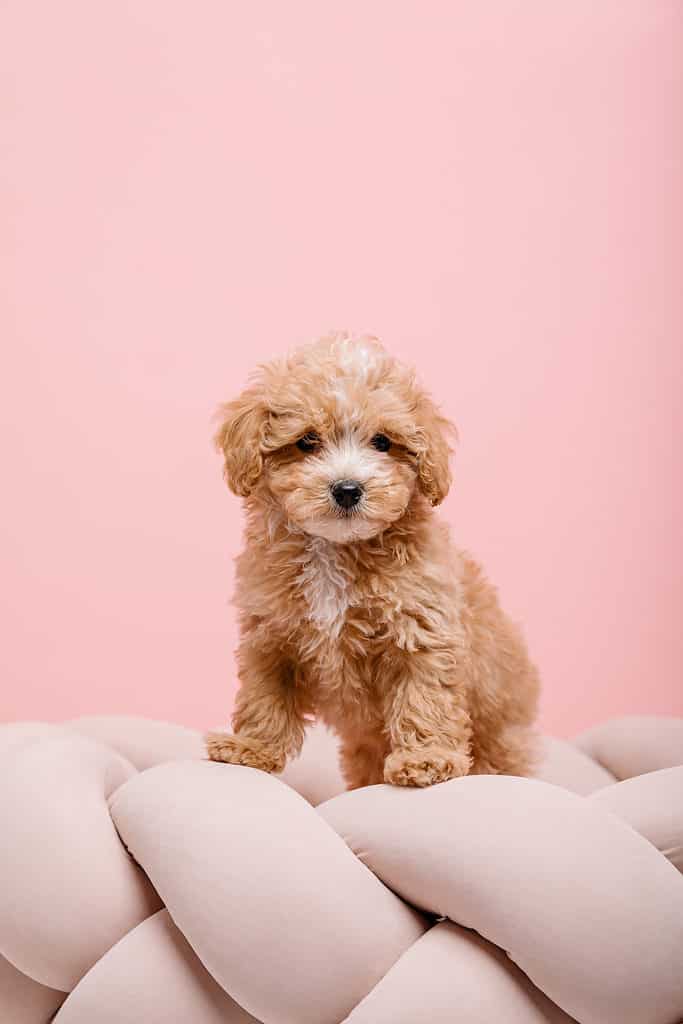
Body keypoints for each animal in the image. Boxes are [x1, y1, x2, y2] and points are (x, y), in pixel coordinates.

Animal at [204, 331, 540, 786]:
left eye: (382, 442)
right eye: (307, 441)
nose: (347, 489)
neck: (335, 549)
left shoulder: (424, 631)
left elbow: (425, 696)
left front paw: (426, 758)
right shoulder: (270, 636)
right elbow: (264, 693)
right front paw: (250, 747)